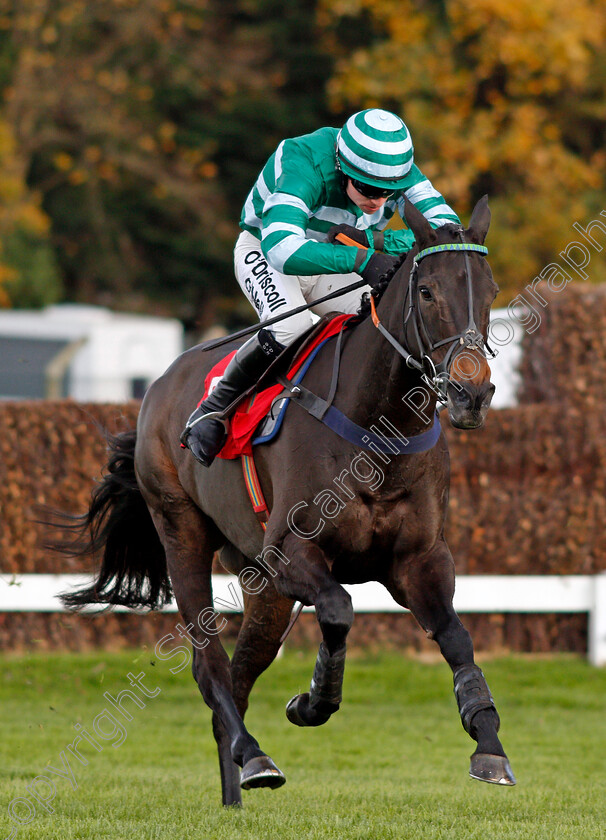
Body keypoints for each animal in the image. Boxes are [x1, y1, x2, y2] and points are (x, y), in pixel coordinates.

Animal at [61, 197, 516, 808]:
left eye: (491, 290)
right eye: (427, 291)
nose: (472, 393)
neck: (379, 430)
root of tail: (158, 385)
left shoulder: (418, 560)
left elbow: (456, 637)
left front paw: (489, 745)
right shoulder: (291, 553)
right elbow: (339, 609)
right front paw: (313, 700)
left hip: (264, 588)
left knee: (238, 677)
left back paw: (236, 788)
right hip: (183, 530)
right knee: (210, 665)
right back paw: (255, 758)